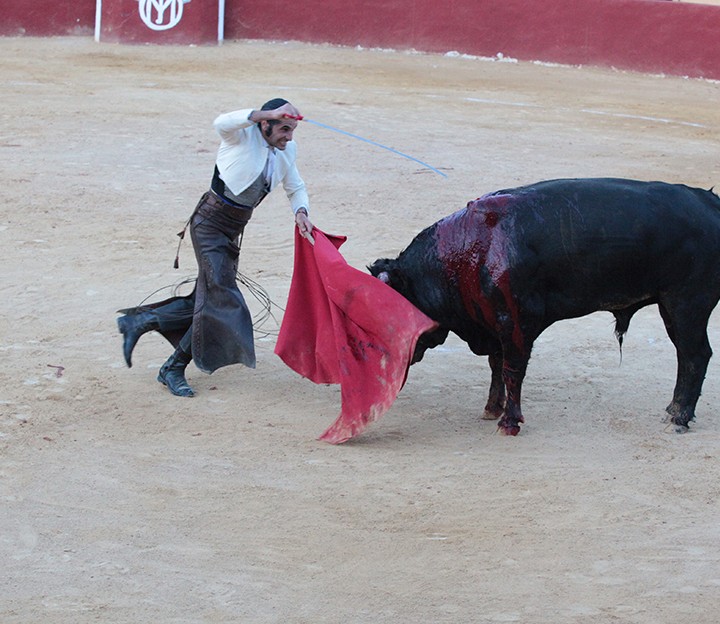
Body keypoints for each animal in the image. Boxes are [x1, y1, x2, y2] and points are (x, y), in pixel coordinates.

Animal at [372, 178, 720, 436]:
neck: (469, 252)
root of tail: (710, 203)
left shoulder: (516, 323)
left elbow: (512, 369)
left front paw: (509, 422)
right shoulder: (494, 324)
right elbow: (497, 366)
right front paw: (492, 409)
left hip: (687, 304)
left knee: (695, 355)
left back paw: (678, 418)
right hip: (672, 307)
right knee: (687, 355)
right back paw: (673, 411)